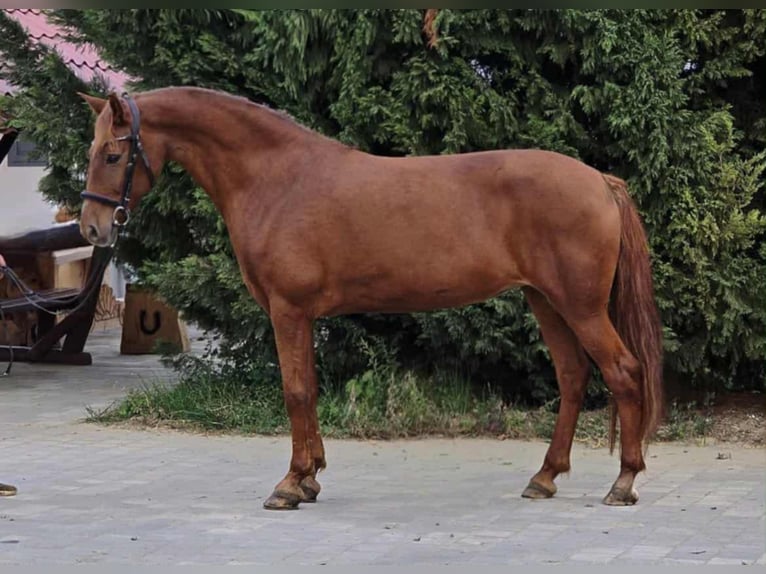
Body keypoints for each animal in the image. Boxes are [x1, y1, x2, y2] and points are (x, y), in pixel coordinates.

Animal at [77, 86, 663, 510]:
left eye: (113, 153)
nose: (91, 228)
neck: (277, 178)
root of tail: (599, 180)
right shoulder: (301, 316)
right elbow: (310, 391)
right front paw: (310, 478)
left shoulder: (289, 311)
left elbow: (295, 392)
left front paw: (290, 485)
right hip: (546, 301)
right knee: (573, 377)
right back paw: (544, 477)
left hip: (580, 306)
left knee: (624, 372)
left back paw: (623, 482)